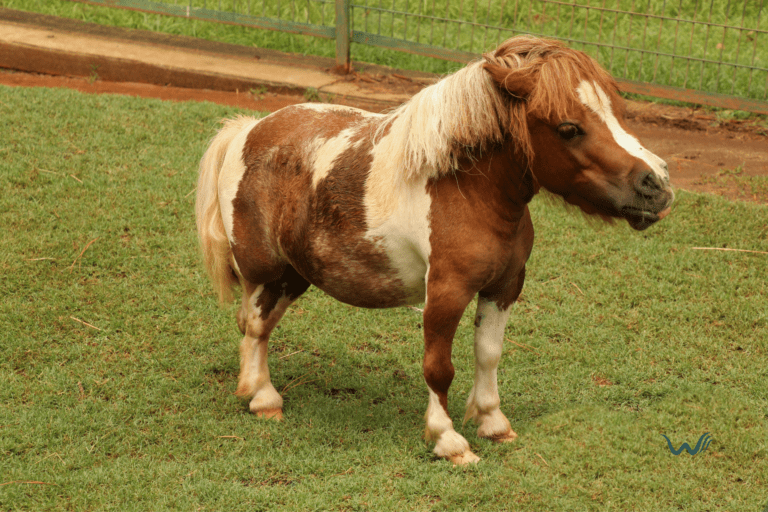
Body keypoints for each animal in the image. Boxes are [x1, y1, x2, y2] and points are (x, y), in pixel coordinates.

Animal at [196, 35, 672, 464]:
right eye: (568, 128)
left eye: (619, 113)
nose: (658, 185)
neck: (466, 191)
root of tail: (248, 130)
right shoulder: (446, 293)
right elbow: (439, 367)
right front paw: (449, 440)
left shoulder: (504, 287)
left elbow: (488, 354)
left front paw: (493, 423)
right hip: (264, 271)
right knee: (255, 326)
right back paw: (263, 398)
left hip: (295, 275)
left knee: (256, 324)